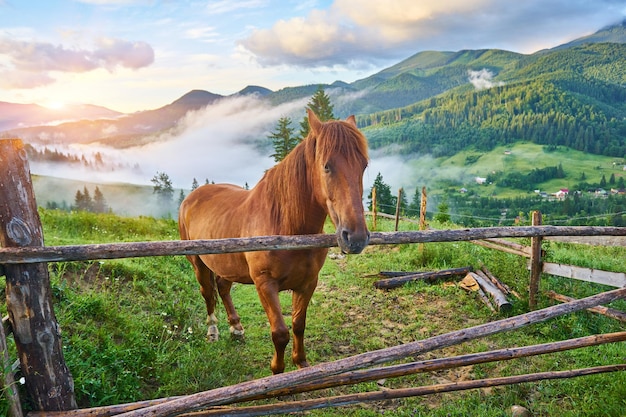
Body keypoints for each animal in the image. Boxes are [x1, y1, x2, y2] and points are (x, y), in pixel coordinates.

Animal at [178, 109, 368, 372]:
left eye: (364, 165)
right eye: (326, 166)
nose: (355, 237)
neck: (287, 229)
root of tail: (191, 197)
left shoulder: (308, 283)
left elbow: (298, 325)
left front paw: (301, 363)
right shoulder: (265, 284)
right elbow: (280, 333)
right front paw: (277, 370)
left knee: (223, 287)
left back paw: (236, 328)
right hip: (197, 262)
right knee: (207, 292)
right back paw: (213, 330)